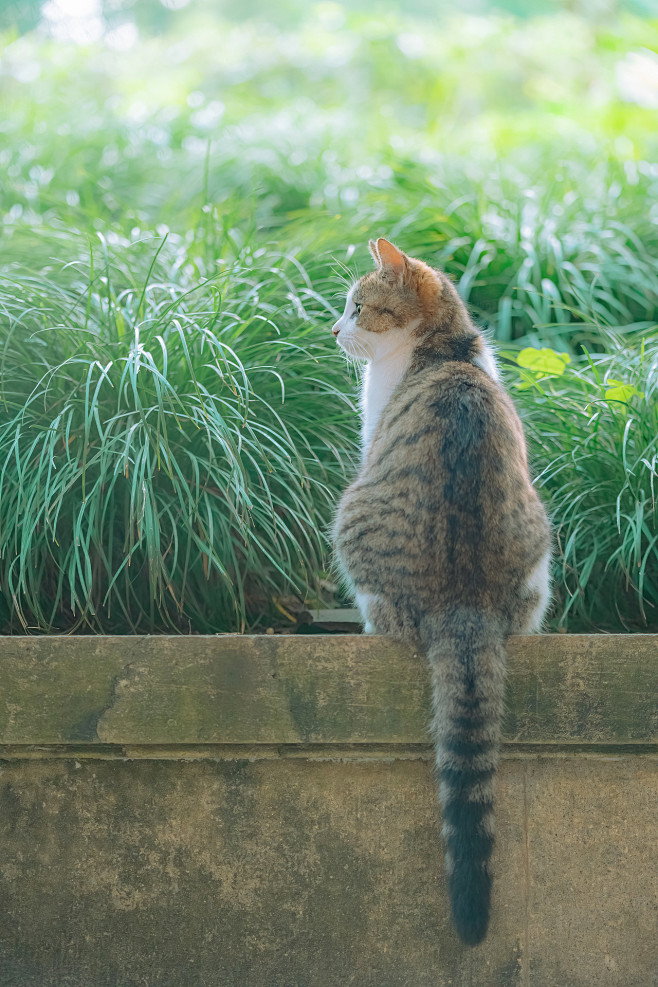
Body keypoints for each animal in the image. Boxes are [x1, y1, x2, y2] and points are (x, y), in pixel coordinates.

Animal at [330, 239, 552, 948]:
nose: (334, 331)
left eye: (358, 307)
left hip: (351, 514)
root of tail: (464, 601)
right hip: (542, 543)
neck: (445, 350)